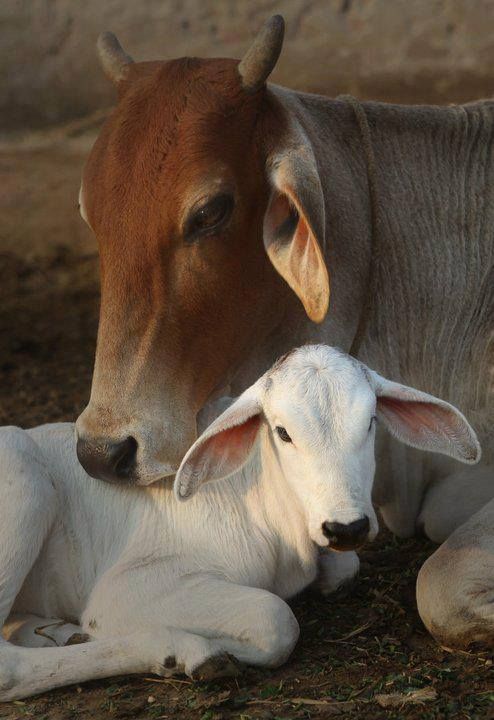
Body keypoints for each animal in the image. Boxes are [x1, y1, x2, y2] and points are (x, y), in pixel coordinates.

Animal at [0, 346, 481, 700]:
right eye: (283, 432)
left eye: (371, 422)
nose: (347, 528)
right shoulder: (125, 588)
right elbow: (275, 620)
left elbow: (345, 568)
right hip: (24, 476)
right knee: (9, 668)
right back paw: (183, 651)